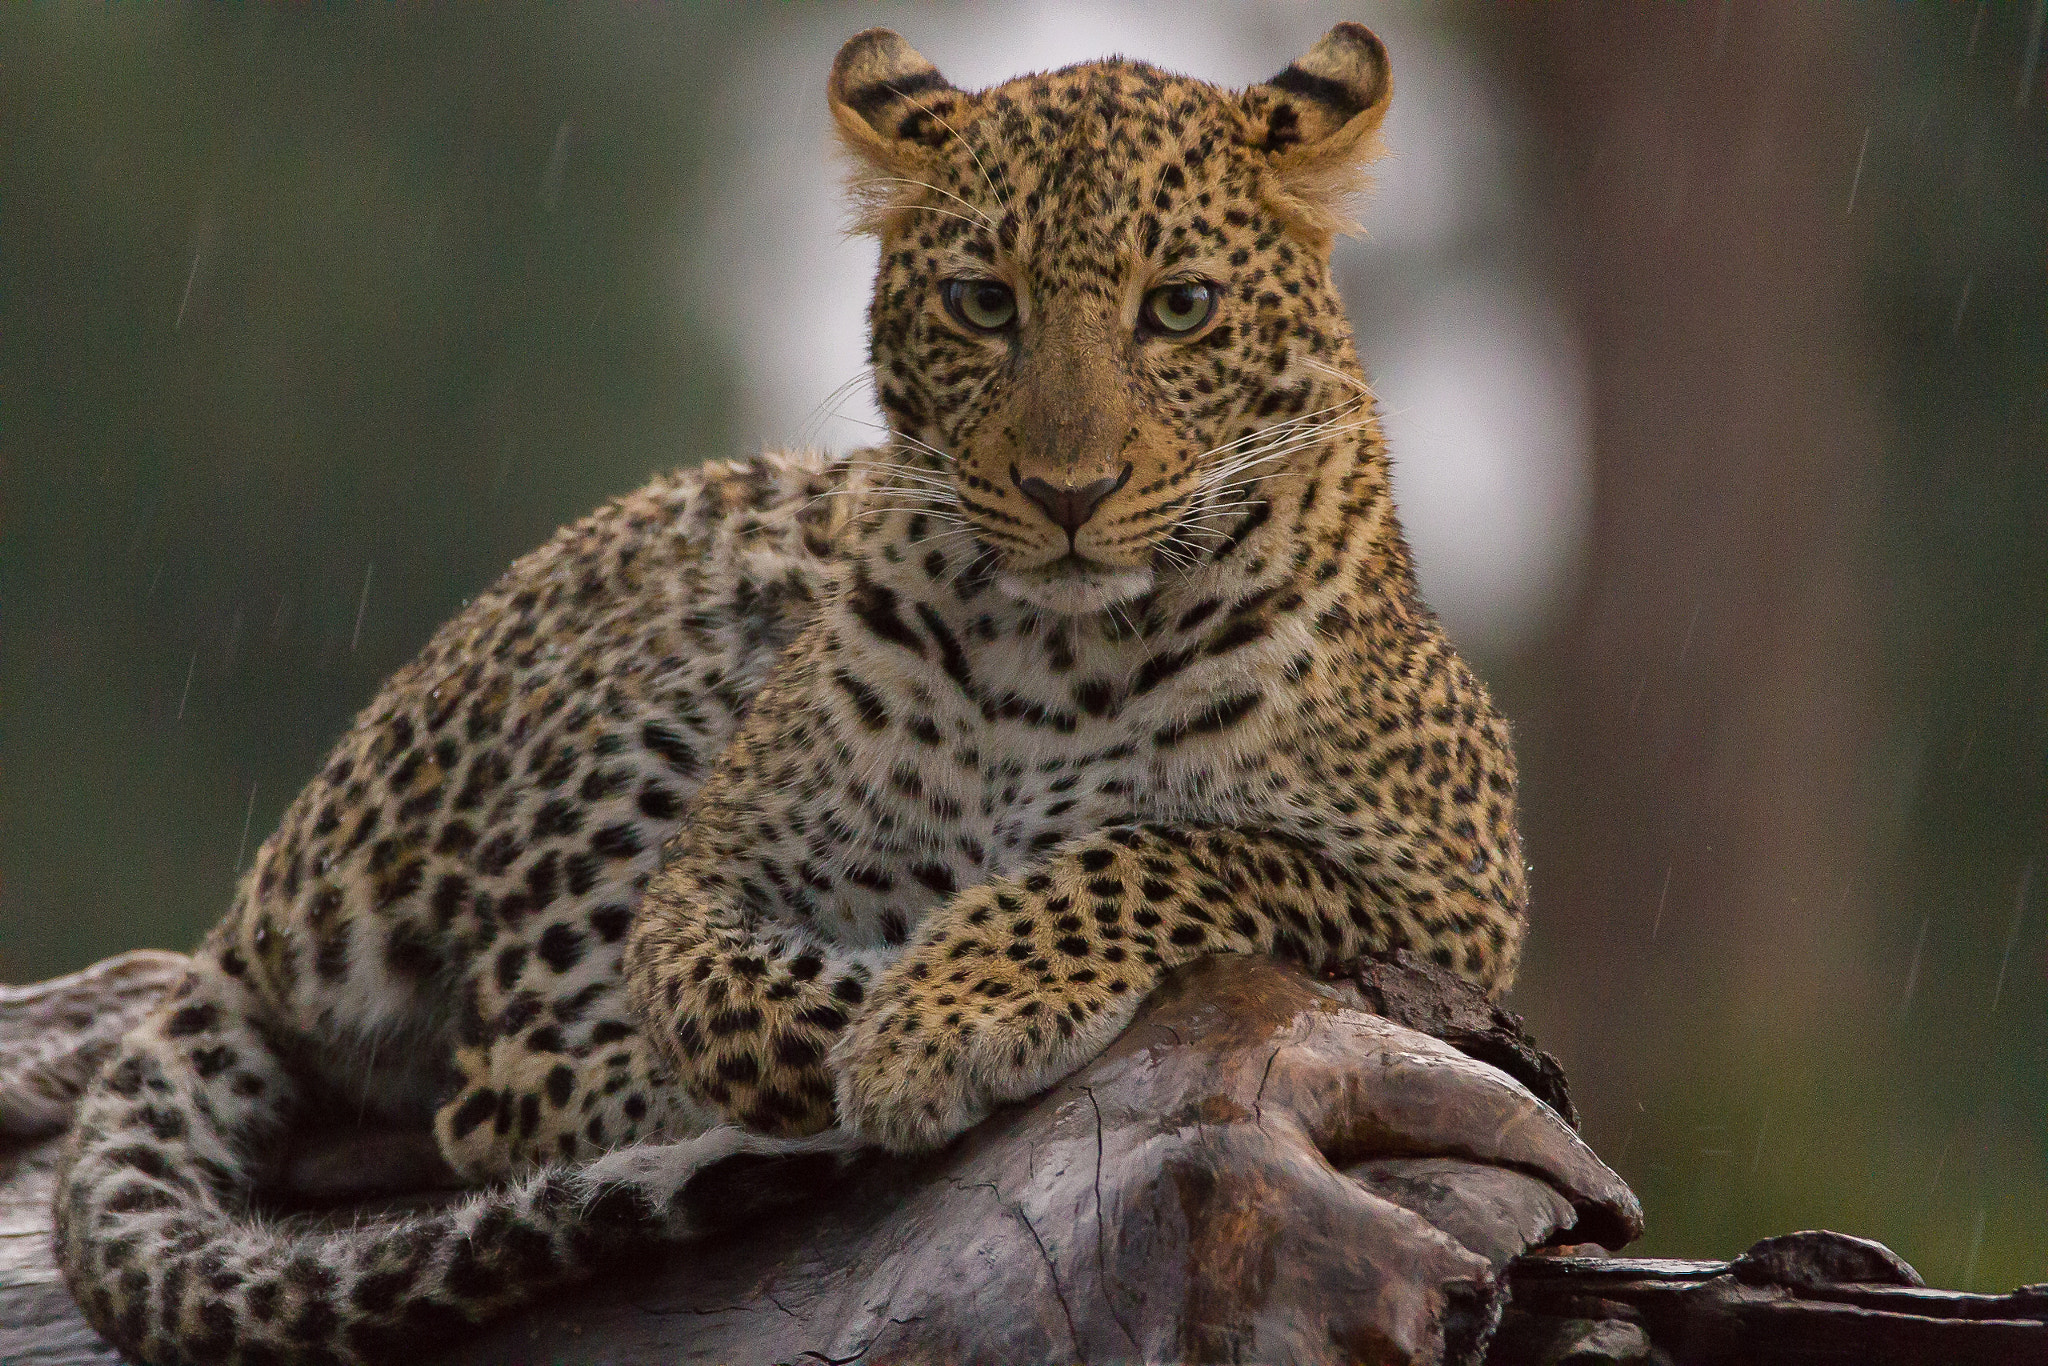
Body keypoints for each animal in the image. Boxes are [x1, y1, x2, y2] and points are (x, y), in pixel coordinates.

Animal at [52, 23, 1527, 1365]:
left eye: (1180, 308)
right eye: (983, 303)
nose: (1067, 491)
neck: (1061, 658)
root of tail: (256, 902)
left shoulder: (1453, 895)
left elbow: (1160, 849)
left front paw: (944, 1008)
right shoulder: (703, 869)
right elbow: (720, 992)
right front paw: (878, 1010)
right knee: (489, 1086)